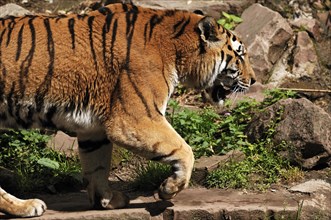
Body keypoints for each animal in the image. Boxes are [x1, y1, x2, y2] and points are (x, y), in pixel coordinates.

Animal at [0, 2, 256, 217]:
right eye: (240, 54)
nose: (254, 80)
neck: (177, 49)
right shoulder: (135, 119)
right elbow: (185, 151)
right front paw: (169, 189)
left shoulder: (94, 130)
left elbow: (97, 167)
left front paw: (106, 200)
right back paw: (27, 206)